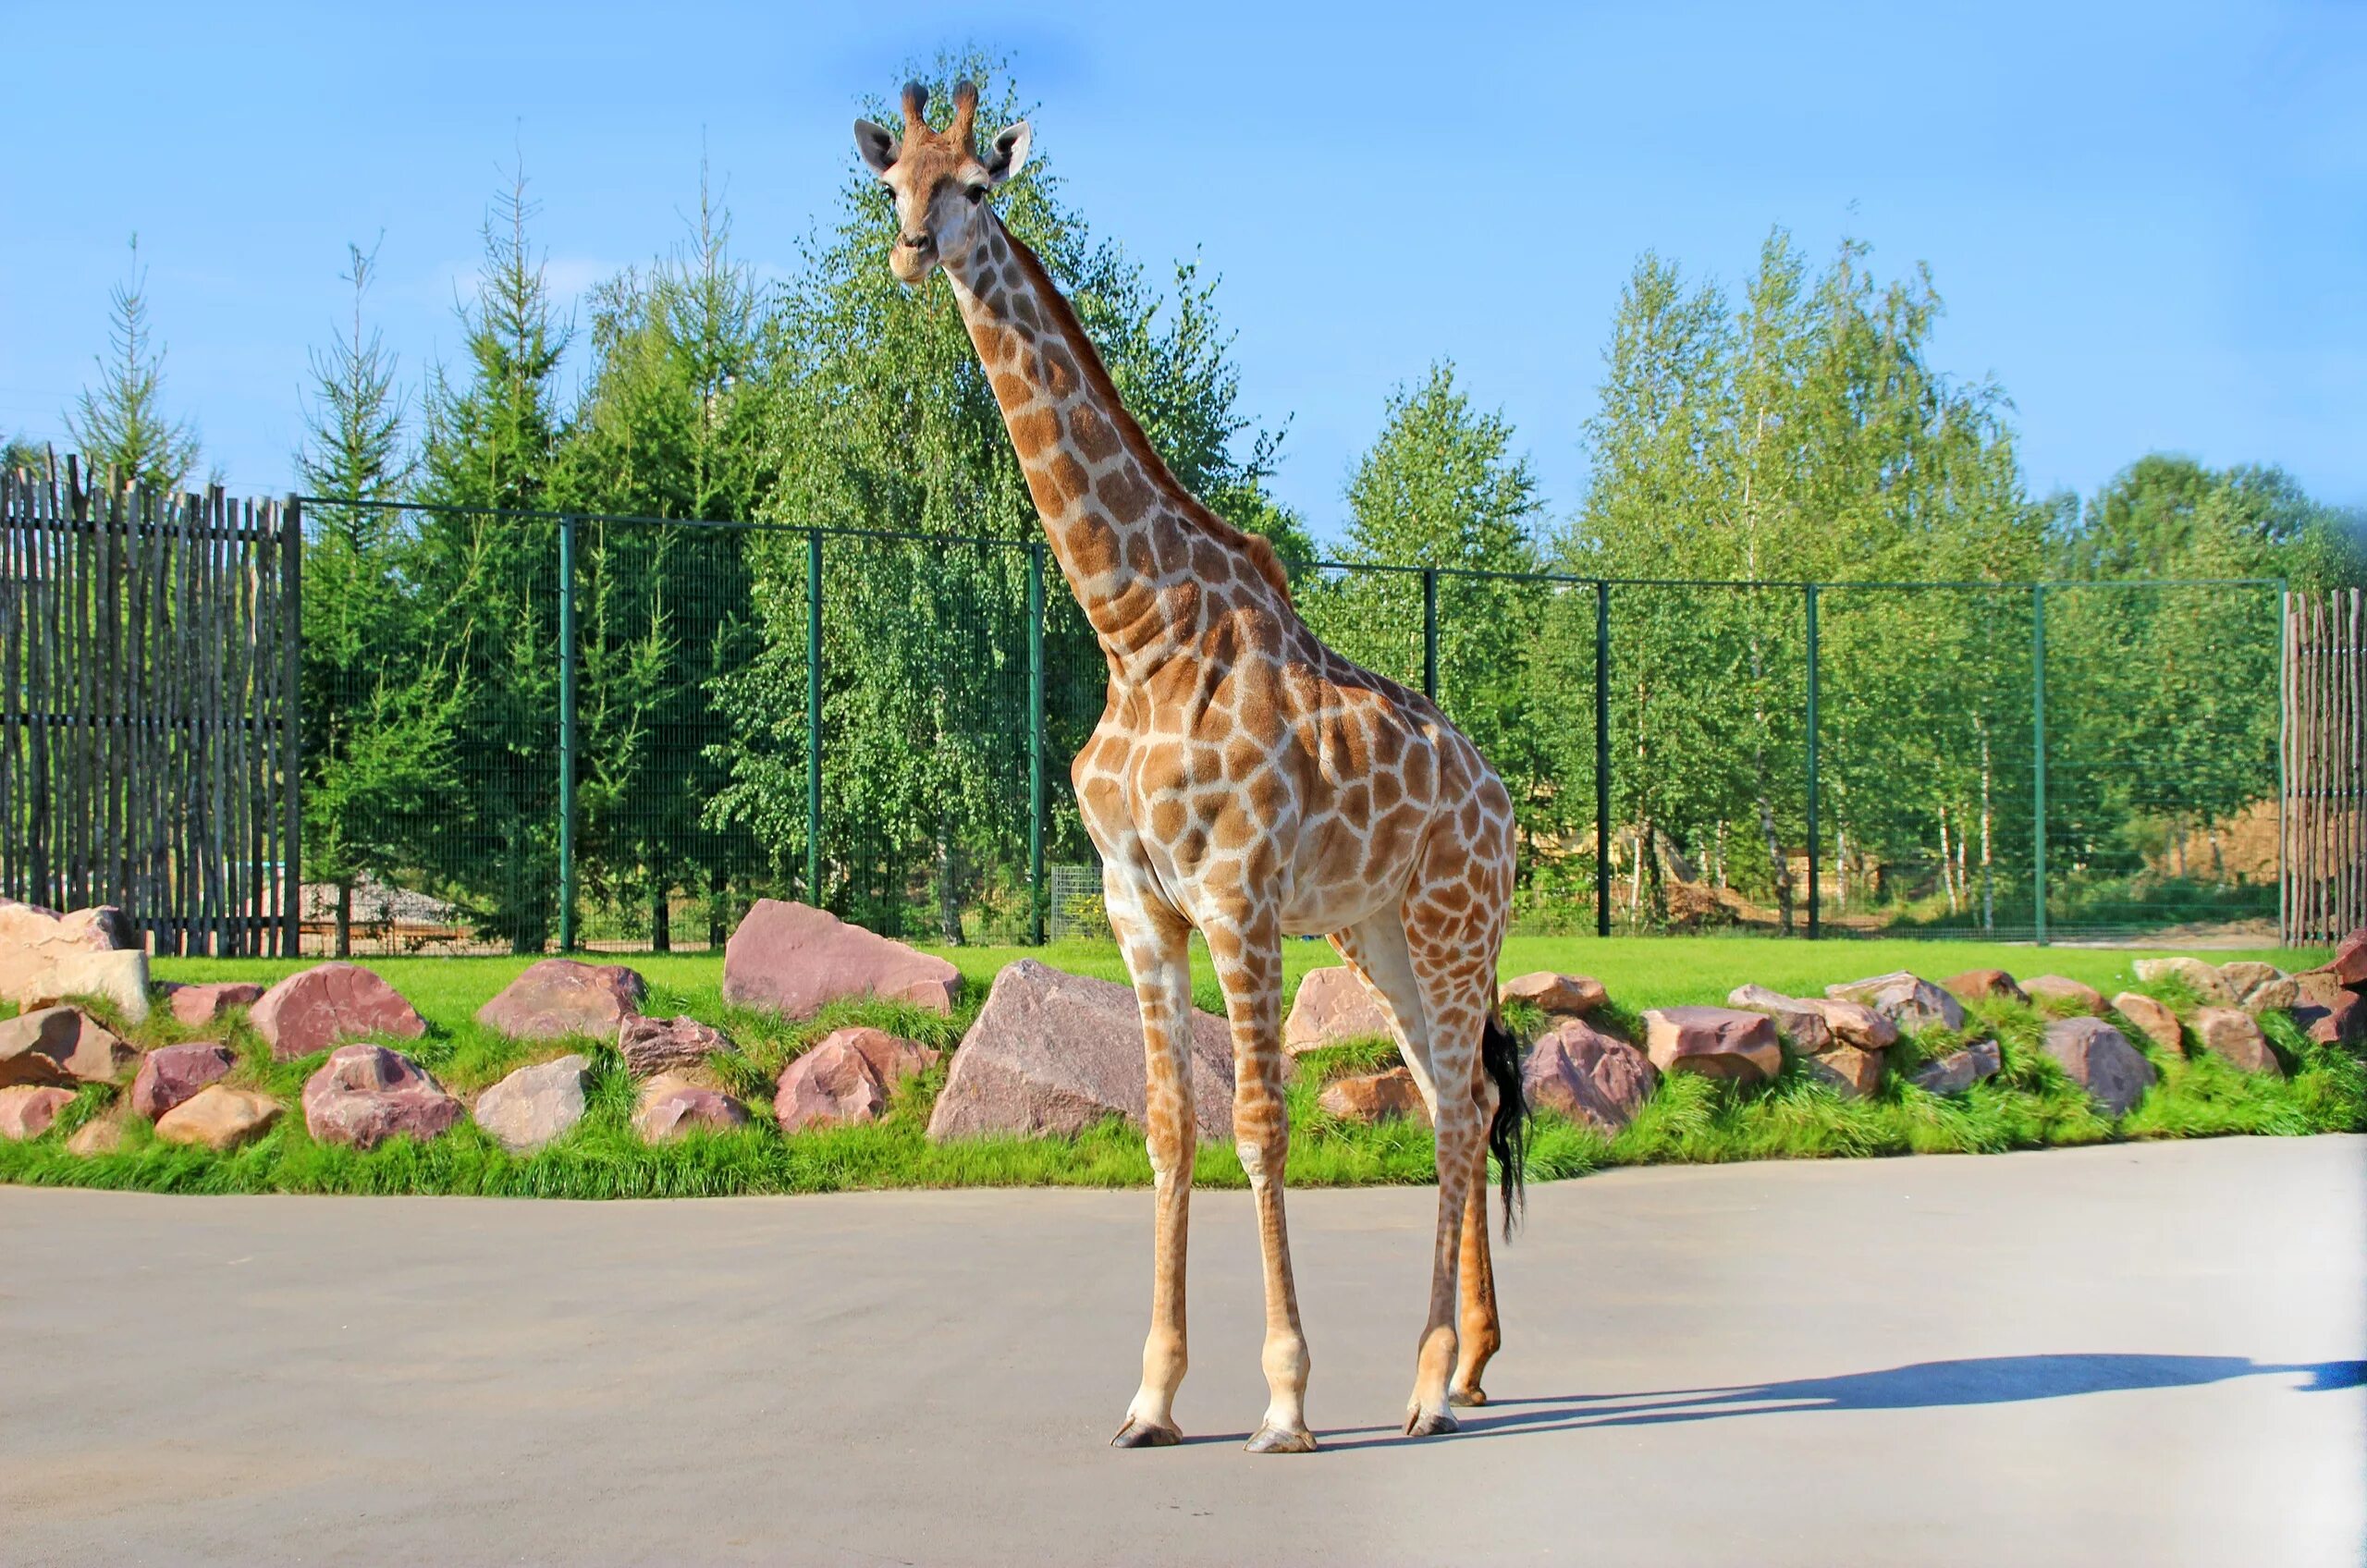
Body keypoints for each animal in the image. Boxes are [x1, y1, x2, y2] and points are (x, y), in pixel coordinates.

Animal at [861, 85, 1524, 1459]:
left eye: (978, 187)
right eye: (890, 183)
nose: (911, 250)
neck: (1135, 630)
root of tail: (1502, 804)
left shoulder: (1238, 896)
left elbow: (1260, 1125)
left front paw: (1284, 1400)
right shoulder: (1137, 904)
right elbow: (1169, 1132)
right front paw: (1154, 1397)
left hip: (1453, 925)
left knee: (1460, 1110)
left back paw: (1431, 1387)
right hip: (1377, 937)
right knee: (1455, 1102)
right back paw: (1446, 1374)